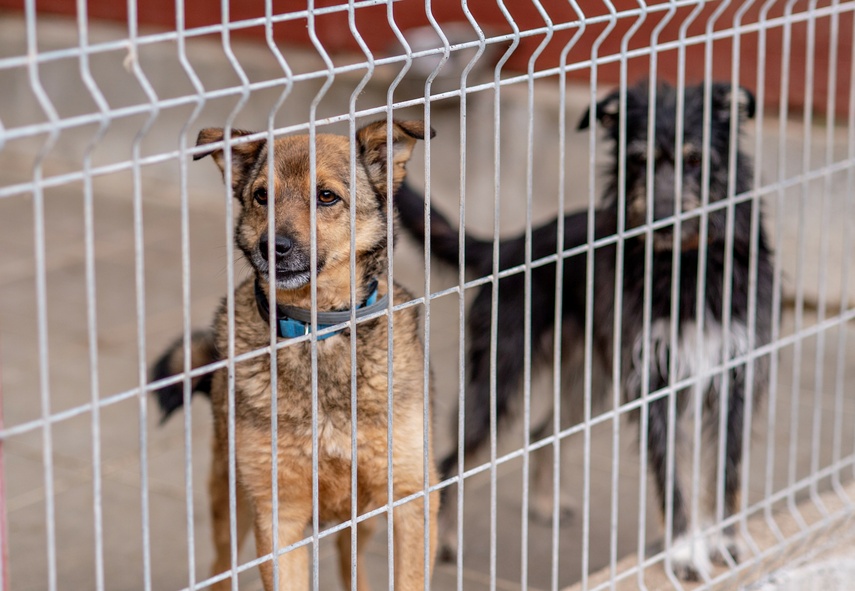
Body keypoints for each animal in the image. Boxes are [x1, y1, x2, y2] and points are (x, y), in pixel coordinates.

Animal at [150, 121, 438, 591]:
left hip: (363, 517)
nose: (273, 246)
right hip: (230, 502)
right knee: (220, 567)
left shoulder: (411, 499)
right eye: (262, 196)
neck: (317, 330)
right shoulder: (277, 514)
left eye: (327, 196)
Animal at [396, 81, 776, 580]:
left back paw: (543, 504)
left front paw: (724, 542)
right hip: (498, 382)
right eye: (638, 160)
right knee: (451, 462)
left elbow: (725, 473)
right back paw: (445, 539)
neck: (687, 265)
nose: (663, 222)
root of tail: (510, 246)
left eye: (695, 158)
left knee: (542, 433)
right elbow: (672, 476)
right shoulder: (653, 382)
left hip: (589, 382)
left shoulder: (735, 375)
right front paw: (681, 550)